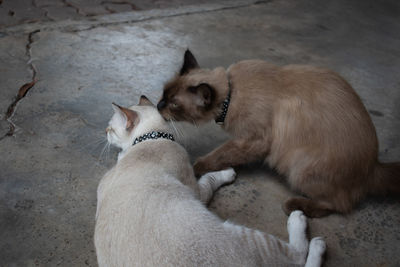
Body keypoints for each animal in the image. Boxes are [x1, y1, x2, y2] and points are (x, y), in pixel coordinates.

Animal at [94, 96, 324, 267]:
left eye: (110, 129)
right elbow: (210, 178)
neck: (150, 138)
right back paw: (305, 227)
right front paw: (227, 173)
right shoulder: (197, 191)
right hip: (249, 237)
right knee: (297, 255)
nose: (104, 132)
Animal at [157, 49, 400, 218]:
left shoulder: (254, 141)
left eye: (174, 104)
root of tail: (373, 166)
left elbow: (220, 154)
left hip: (299, 166)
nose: (159, 105)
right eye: (164, 94)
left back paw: (295, 206)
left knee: (340, 205)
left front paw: (197, 166)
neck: (231, 94)